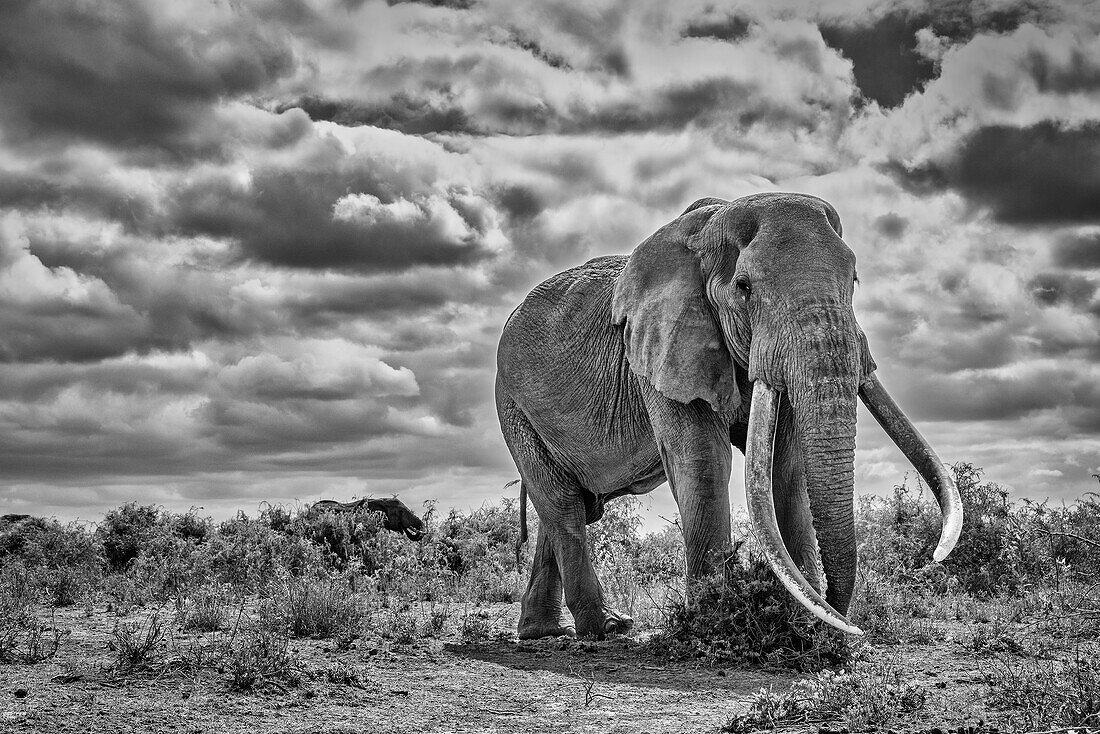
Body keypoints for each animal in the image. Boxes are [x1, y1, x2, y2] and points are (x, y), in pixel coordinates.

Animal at [497, 192, 963, 638]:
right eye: (744, 286)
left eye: (854, 279)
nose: (841, 619)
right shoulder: (661, 349)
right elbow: (703, 460)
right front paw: (711, 619)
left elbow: (784, 466)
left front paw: (804, 621)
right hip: (512, 404)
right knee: (564, 506)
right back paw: (606, 628)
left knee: (568, 506)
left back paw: (544, 631)